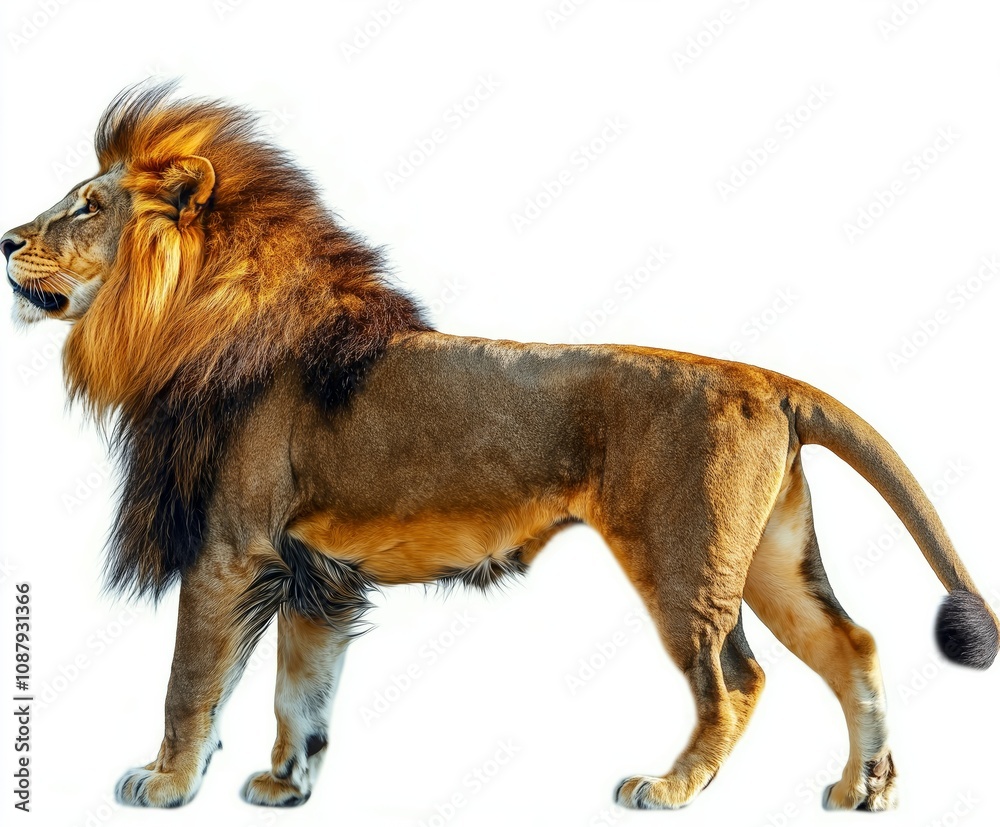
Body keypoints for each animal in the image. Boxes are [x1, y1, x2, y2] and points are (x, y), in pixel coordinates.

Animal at [3, 82, 997, 812]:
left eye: (87, 207)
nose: (7, 238)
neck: (186, 322)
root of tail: (765, 378)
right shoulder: (313, 570)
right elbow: (301, 688)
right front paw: (287, 784)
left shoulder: (229, 548)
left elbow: (190, 680)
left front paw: (165, 781)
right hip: (770, 555)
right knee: (854, 645)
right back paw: (865, 788)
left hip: (682, 555)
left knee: (737, 677)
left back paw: (670, 786)